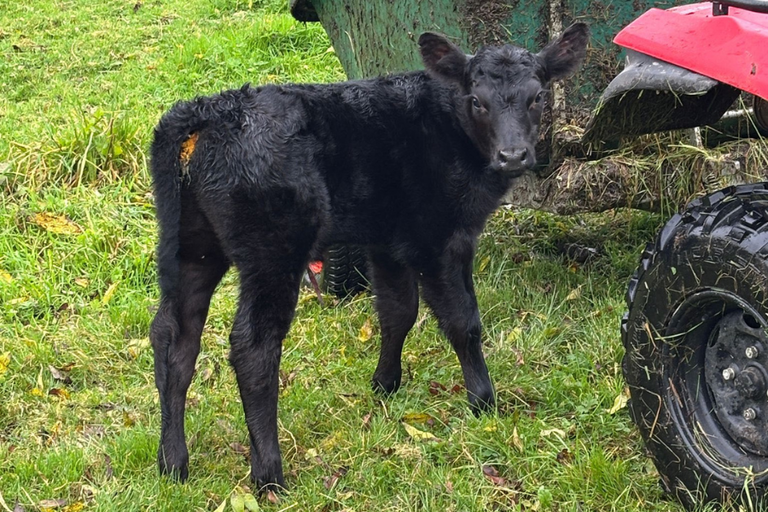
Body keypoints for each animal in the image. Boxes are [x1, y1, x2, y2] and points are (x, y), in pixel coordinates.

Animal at [149, 24, 588, 489]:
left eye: (537, 97)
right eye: (476, 101)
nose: (513, 155)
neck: (448, 127)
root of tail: (205, 112)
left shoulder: (388, 240)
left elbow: (398, 311)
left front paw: (385, 384)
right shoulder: (440, 238)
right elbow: (463, 322)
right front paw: (484, 402)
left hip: (188, 245)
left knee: (173, 337)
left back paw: (173, 462)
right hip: (273, 250)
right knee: (253, 345)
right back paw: (269, 473)